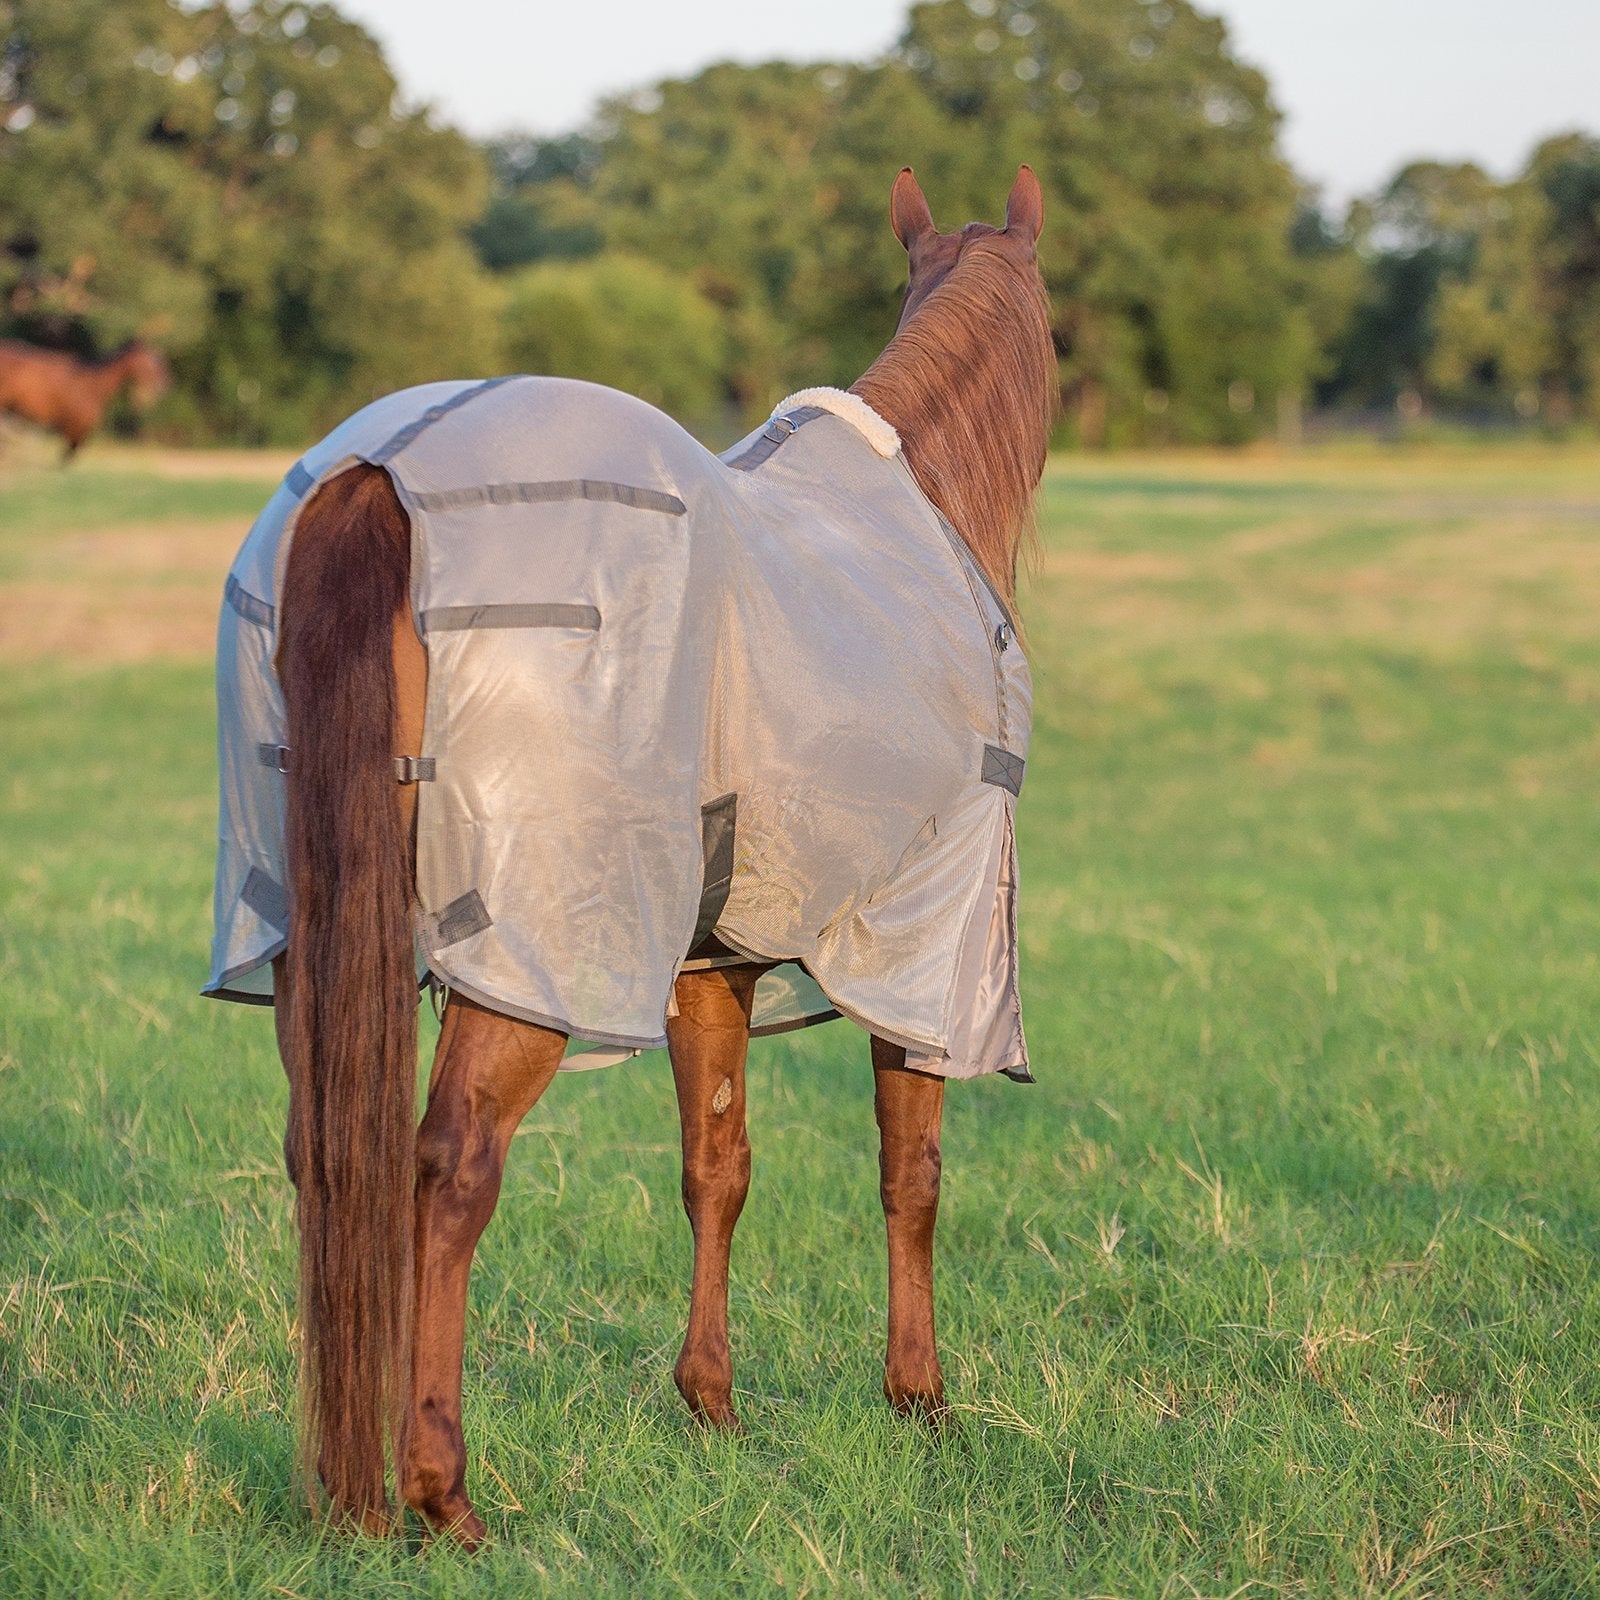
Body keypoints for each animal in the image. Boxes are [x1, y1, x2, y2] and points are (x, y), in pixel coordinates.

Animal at [212, 165, 1055, 1546]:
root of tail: (374, 477)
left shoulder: (711, 960)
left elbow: (717, 1167)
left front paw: (709, 1402)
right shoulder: (927, 943)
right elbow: (912, 1172)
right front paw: (919, 1397)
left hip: (310, 937)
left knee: (326, 1152)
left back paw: (342, 1488)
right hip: (529, 958)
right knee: (447, 1171)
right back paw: (439, 1493)